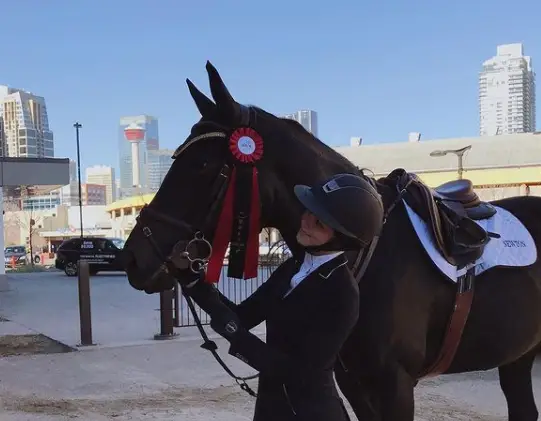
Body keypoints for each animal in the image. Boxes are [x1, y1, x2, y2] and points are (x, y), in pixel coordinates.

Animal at [120, 62, 540, 420]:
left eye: (203, 165)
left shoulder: (395, 386)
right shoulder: (352, 381)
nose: (134, 258)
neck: (364, 251)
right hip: (518, 355)